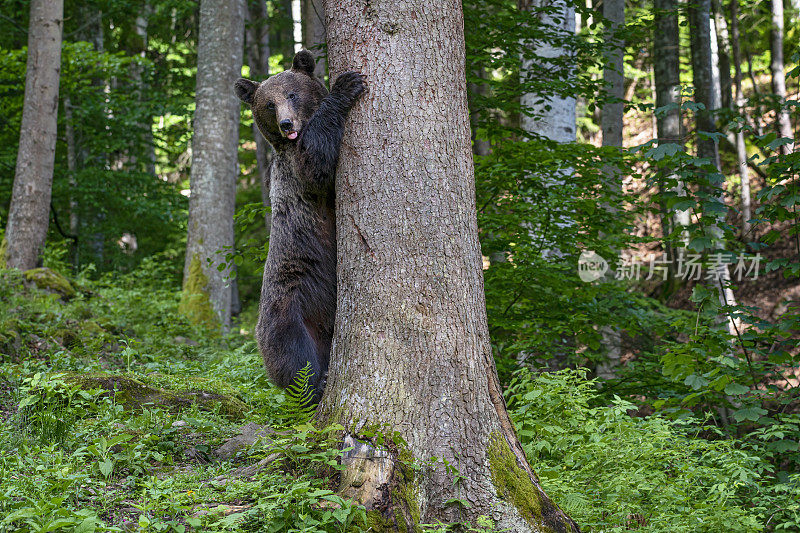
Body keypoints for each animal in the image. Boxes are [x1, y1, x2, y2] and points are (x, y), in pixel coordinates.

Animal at [234, 51, 366, 400]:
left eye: (292, 94)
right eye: (269, 104)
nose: (286, 123)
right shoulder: (296, 170)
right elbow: (317, 164)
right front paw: (346, 85)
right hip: (288, 305)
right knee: (294, 355)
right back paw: (316, 385)